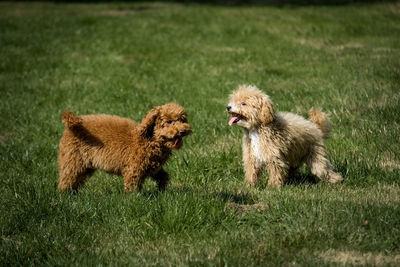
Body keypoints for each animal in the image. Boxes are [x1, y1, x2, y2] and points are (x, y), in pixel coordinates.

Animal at [56, 102, 192, 193]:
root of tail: (71, 124)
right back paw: (65, 195)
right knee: (67, 178)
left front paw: (161, 190)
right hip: (73, 159)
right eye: (169, 122)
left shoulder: (152, 167)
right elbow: (132, 185)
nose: (182, 131)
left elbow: (163, 176)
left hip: (85, 165)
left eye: (183, 120)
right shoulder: (134, 168)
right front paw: (134, 199)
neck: (149, 139)